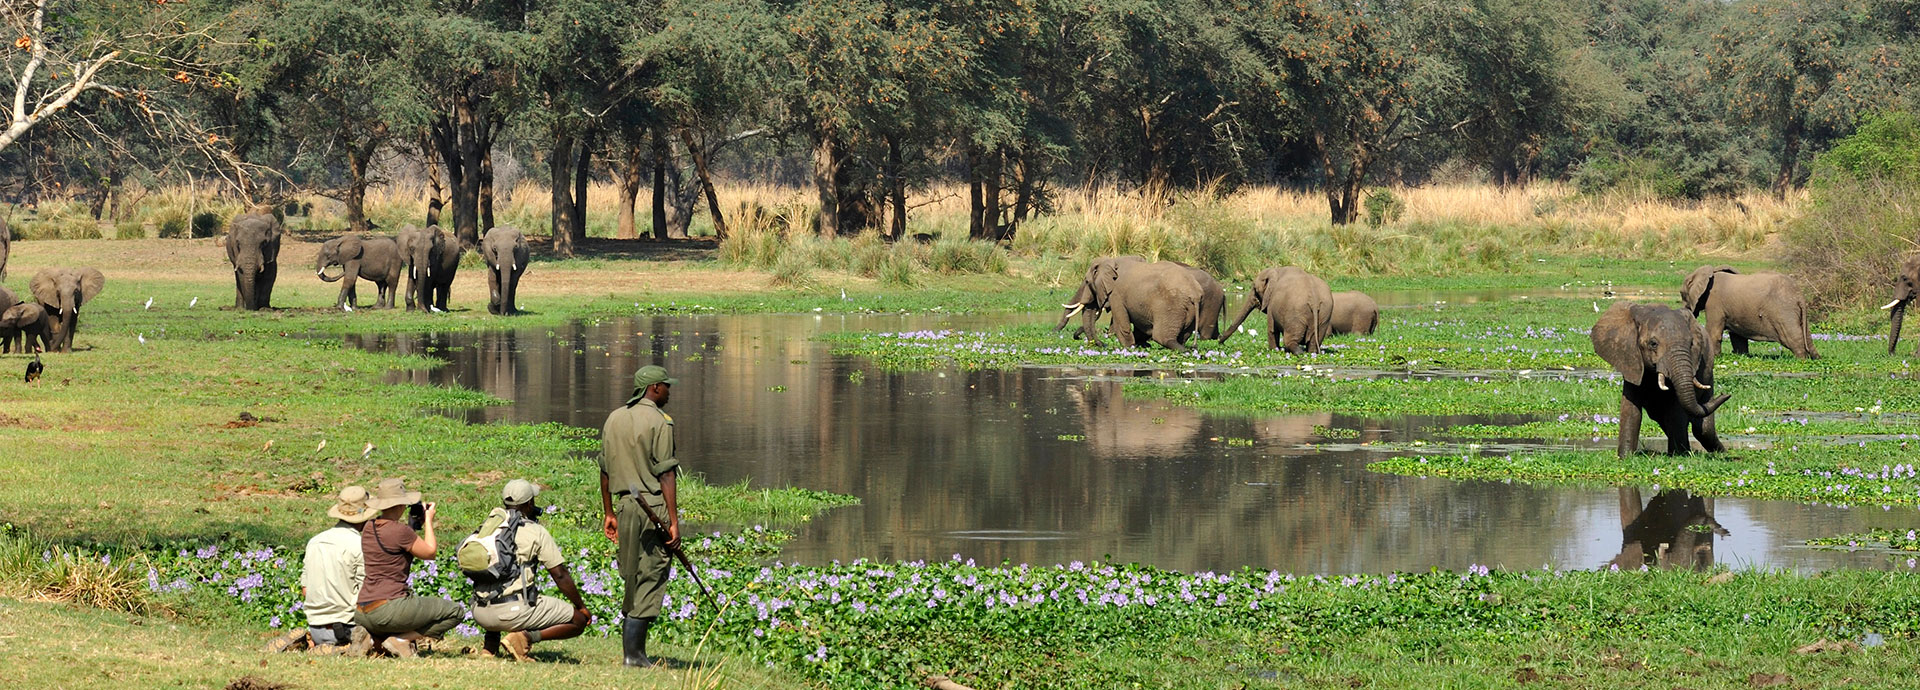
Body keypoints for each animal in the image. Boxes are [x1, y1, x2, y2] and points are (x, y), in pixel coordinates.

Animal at [1590, 301, 1732, 458]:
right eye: (1653, 343)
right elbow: (1631, 409)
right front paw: (1625, 457)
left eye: (1691, 344)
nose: (1726, 394)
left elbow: (1677, 410)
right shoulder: (1630, 359)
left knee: (1702, 428)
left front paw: (1679, 455)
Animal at [1679, 265, 1818, 360]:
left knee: (1792, 337)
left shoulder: (1714, 303)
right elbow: (1737, 336)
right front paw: (1741, 355)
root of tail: (1799, 295)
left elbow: (1713, 332)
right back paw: (1815, 357)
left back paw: (1801, 359)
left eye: (1681, 294)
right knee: (1806, 336)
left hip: (1783, 311)